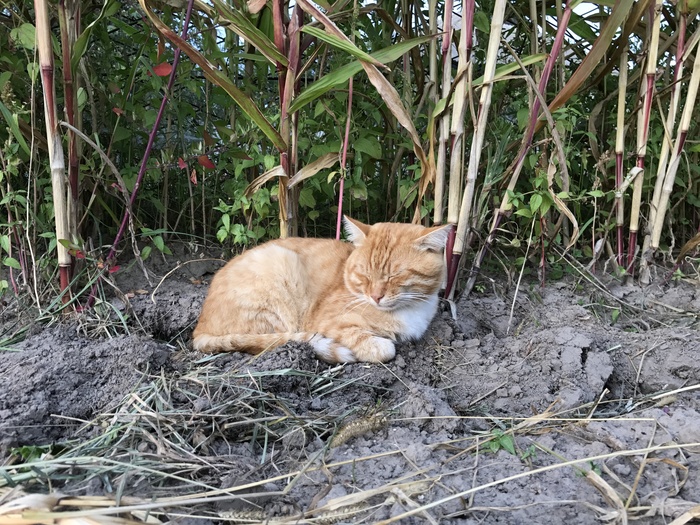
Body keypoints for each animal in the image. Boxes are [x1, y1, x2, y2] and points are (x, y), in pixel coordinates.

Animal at [193, 215, 454, 362]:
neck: (411, 309)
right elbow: (381, 348)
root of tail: (199, 328)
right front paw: (377, 346)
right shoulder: (327, 322)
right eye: (365, 274)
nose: (376, 297)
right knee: (274, 340)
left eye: (395, 275)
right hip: (280, 269)